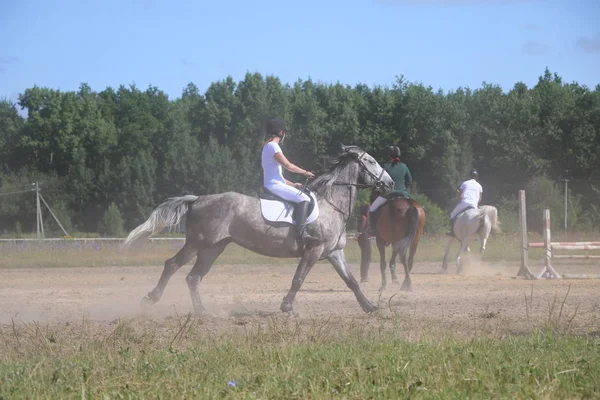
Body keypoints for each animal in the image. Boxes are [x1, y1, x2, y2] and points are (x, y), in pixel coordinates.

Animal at [123, 145, 394, 314]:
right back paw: (150, 299)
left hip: (213, 248)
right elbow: (298, 279)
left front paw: (369, 306)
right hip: (197, 243)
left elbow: (351, 281)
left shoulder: (333, 253)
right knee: (172, 265)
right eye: (371, 161)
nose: (390, 184)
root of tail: (198, 199)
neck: (331, 203)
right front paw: (286, 307)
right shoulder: (314, 250)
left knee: (193, 277)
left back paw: (201, 311)